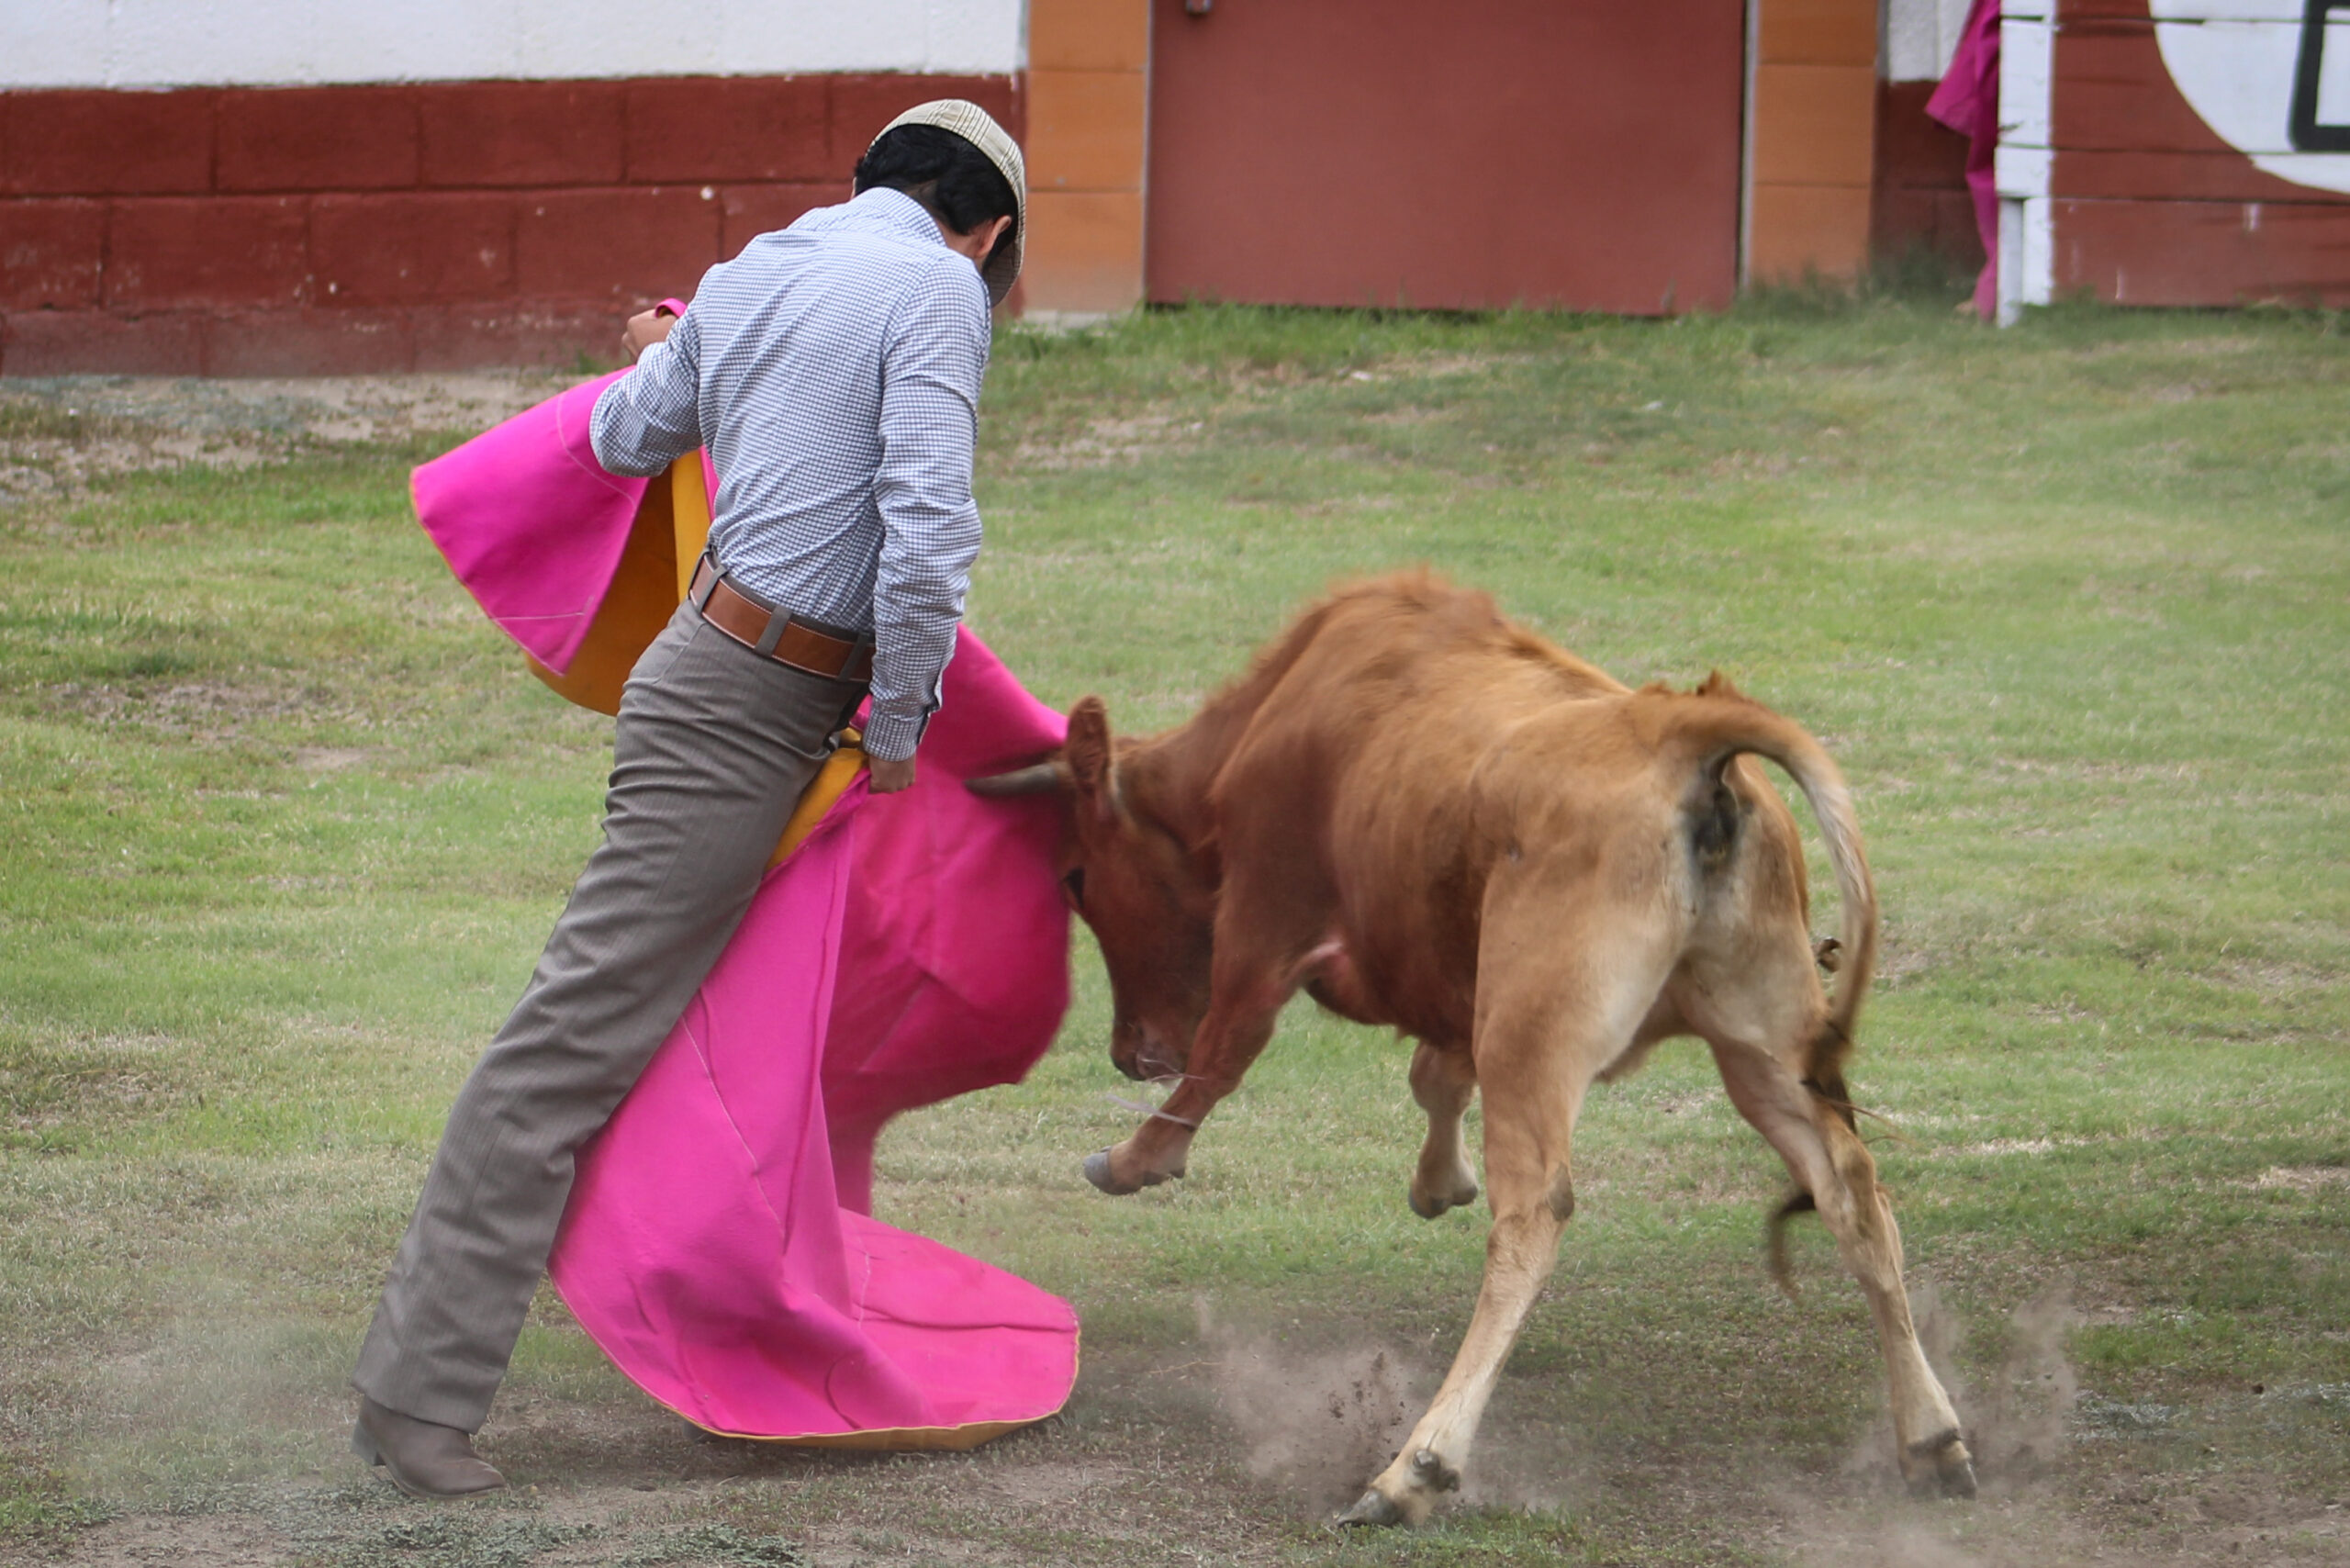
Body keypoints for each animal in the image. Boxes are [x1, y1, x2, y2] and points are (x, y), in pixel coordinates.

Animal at [963, 573, 1974, 1523]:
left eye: (1077, 878)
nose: (1129, 1051)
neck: (1275, 716)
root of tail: (1681, 731)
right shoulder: (1445, 983)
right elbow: (1433, 1073)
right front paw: (1437, 1178)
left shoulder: (1262, 923)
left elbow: (1227, 1051)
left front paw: (1137, 1156)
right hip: (1763, 1047)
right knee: (1851, 1188)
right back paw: (1932, 1439)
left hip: (1534, 1037)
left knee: (1533, 1218)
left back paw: (1415, 1468)